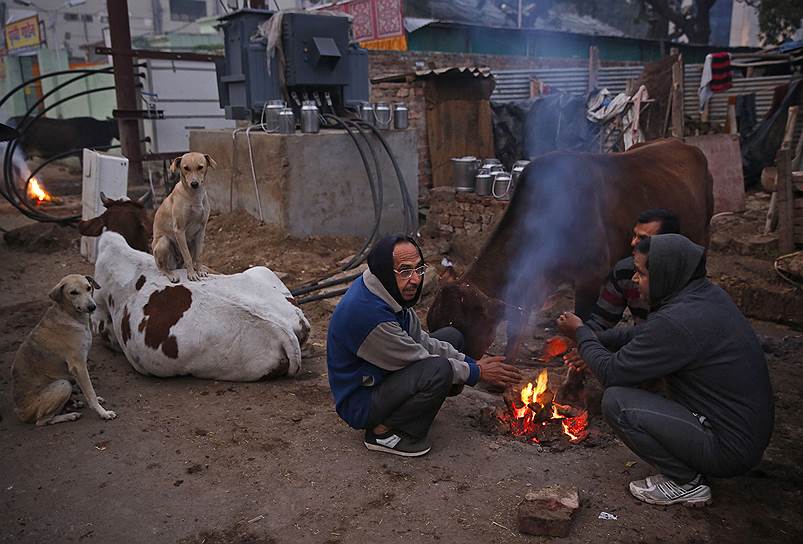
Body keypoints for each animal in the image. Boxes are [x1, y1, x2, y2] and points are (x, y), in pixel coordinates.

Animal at [10, 276, 116, 424]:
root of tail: (20, 413)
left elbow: (86, 390)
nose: (92, 307)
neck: (70, 315)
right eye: (73, 292)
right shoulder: (78, 365)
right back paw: (70, 415)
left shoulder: (76, 369)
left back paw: (73, 404)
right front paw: (103, 412)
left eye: (89, 288)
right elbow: (90, 392)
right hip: (63, 385)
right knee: (42, 421)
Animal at [152, 151, 217, 282]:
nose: (194, 184)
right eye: (185, 168)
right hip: (164, 242)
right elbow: (187, 256)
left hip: (191, 242)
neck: (194, 196)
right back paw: (171, 274)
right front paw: (192, 274)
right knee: (163, 268)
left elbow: (198, 256)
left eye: (200, 167)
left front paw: (200, 271)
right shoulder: (179, 231)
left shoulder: (201, 231)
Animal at [430, 139, 712, 362]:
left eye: (456, 325)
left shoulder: (591, 276)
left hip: (702, 236)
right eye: (433, 321)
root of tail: (685, 145)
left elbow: (582, 321)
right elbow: (515, 329)